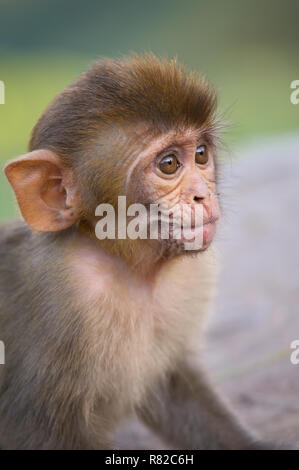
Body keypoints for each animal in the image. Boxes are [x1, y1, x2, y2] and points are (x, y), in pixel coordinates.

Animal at [0, 53, 264, 450]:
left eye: (201, 155)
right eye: (169, 164)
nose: (203, 194)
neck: (127, 265)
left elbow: (172, 387)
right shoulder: (60, 301)